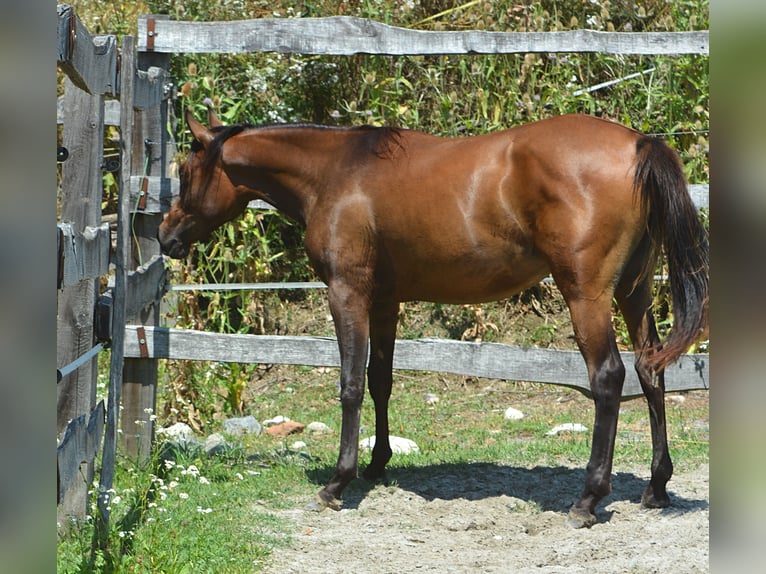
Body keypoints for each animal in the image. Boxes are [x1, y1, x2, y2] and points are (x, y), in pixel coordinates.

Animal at [159, 110, 712, 528]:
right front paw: (377, 463)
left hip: (587, 294)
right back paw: (657, 487)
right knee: (650, 369)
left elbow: (350, 385)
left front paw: (338, 481)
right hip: (635, 291)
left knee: (609, 377)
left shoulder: (347, 294)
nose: (165, 236)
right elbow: (380, 380)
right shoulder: (385, 301)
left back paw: (587, 499)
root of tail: (638, 144)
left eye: (184, 174)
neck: (337, 173)